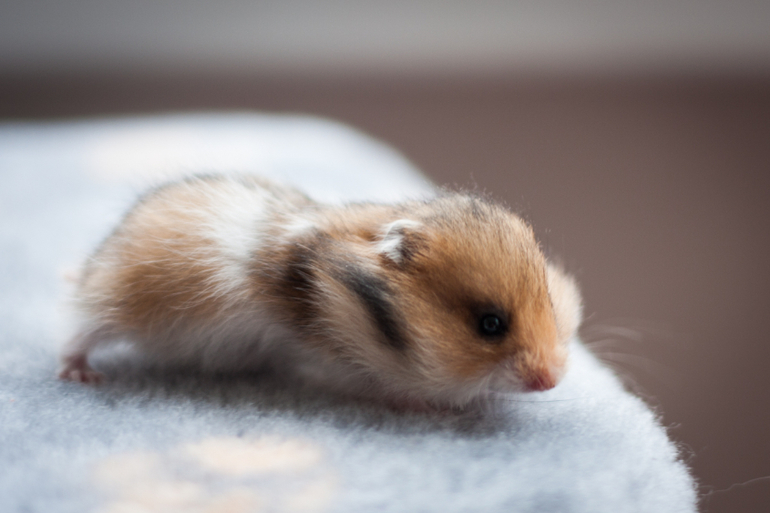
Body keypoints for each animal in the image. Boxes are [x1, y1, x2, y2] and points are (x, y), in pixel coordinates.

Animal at [59, 173, 582, 409]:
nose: (553, 381)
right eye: (490, 324)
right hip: (113, 296)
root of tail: (104, 249)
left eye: (551, 303)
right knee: (80, 328)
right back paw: (81, 376)